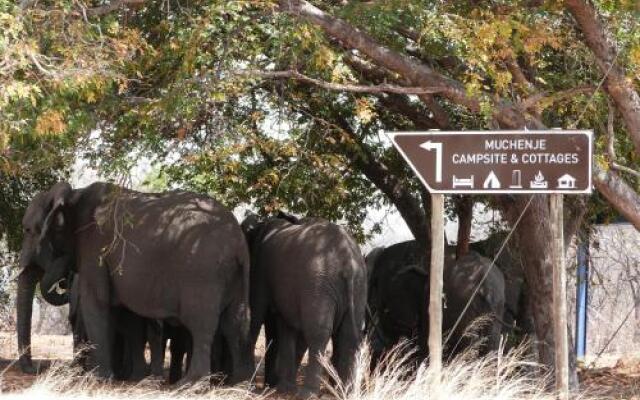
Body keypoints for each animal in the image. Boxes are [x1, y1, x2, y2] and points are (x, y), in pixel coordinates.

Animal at [16, 182, 254, 384]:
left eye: (28, 230)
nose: (35, 368)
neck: (73, 195)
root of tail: (238, 242)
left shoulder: (96, 248)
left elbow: (97, 304)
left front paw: (99, 379)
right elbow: (121, 316)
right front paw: (123, 377)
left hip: (203, 272)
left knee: (201, 324)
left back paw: (191, 385)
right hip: (233, 275)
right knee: (233, 322)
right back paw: (238, 384)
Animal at [242, 212, 368, 396]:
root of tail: (349, 264)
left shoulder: (260, 269)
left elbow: (257, 312)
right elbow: (287, 327)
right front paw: (284, 388)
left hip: (319, 284)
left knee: (318, 333)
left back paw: (309, 394)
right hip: (357, 286)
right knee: (348, 335)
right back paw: (344, 393)